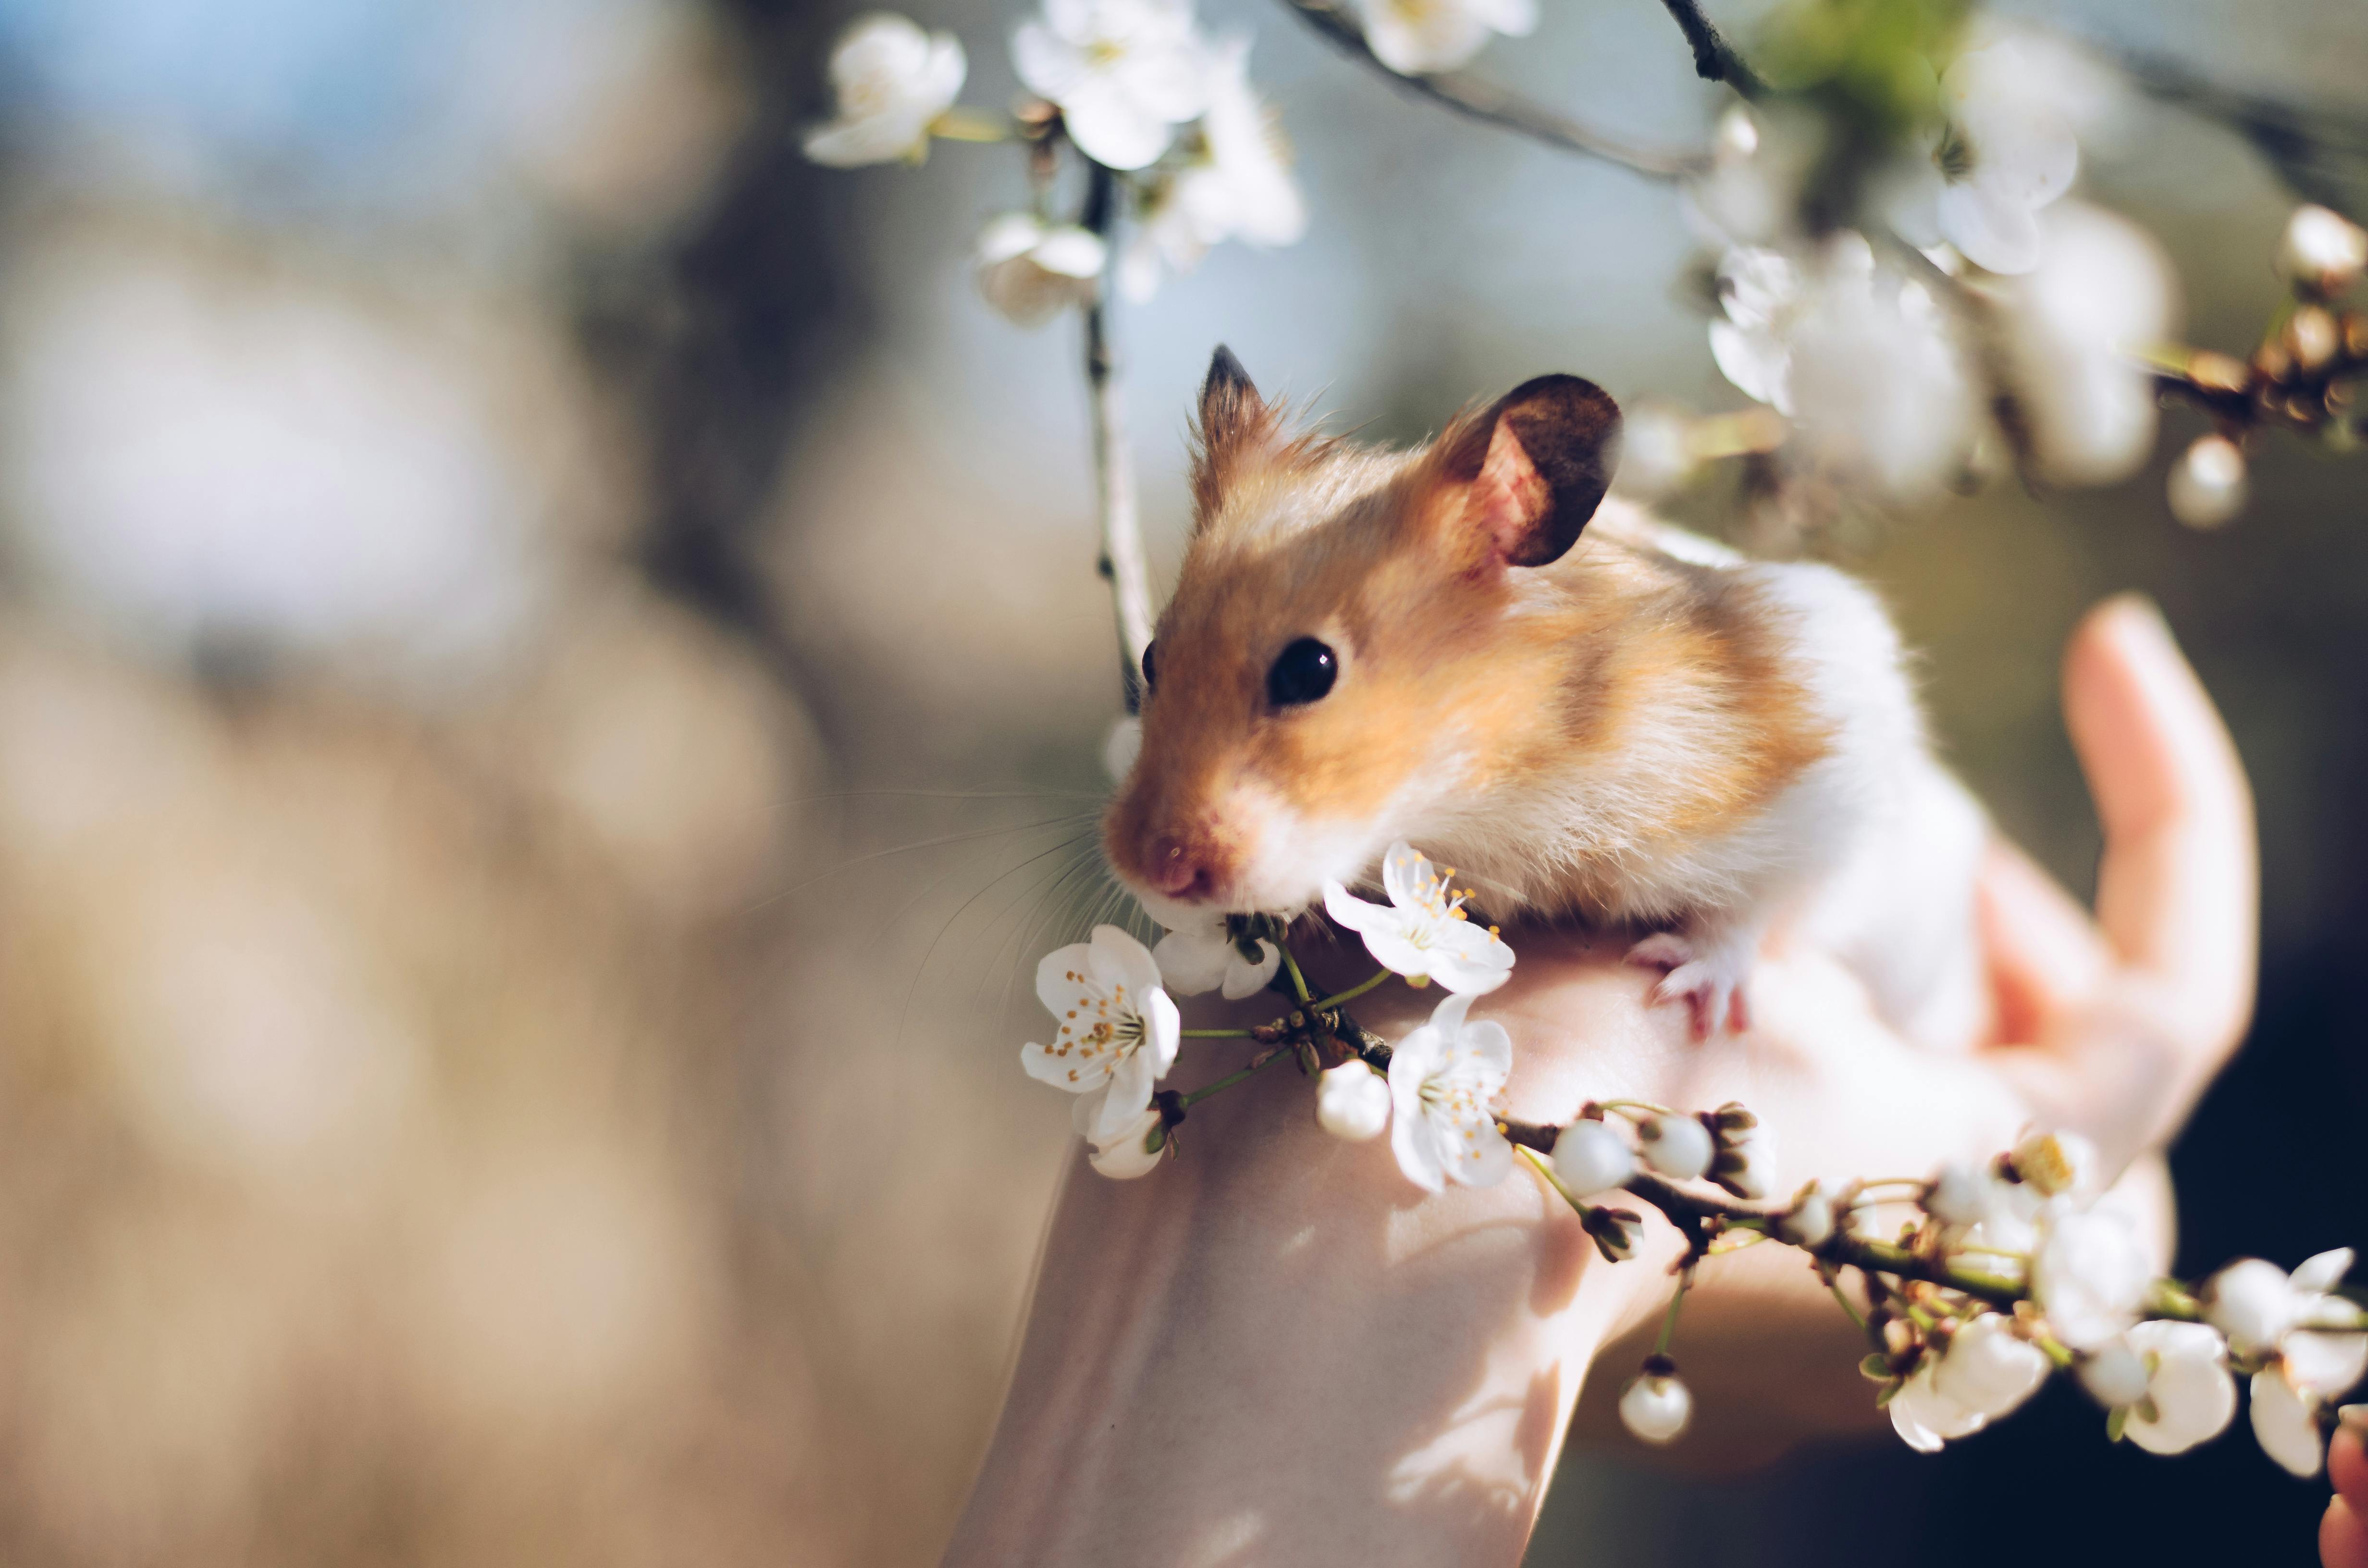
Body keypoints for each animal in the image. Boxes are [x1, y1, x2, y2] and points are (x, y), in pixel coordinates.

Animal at [1098, 350, 1989, 1052]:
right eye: (1149, 657)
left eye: (1308, 671)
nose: (1151, 870)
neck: (1498, 782)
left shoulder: (1830, 772)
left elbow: (1759, 906)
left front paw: (1685, 990)